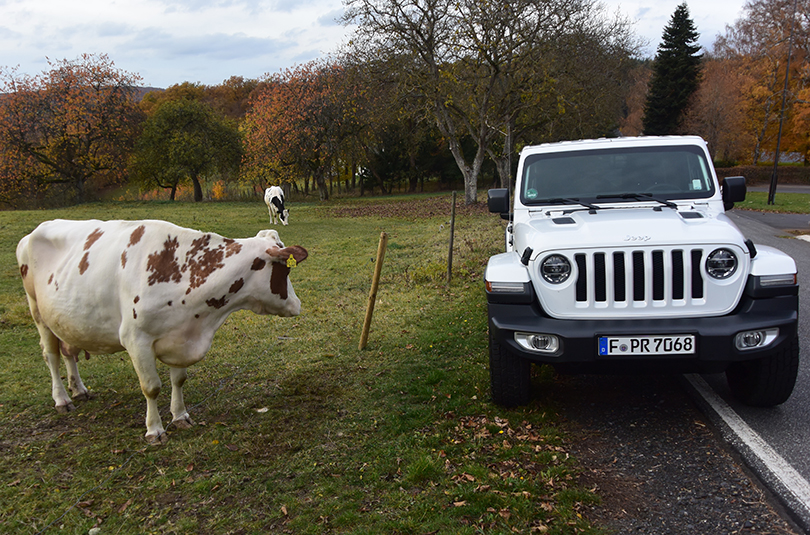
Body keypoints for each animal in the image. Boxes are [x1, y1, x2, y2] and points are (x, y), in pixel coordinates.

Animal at [15, 220, 306, 446]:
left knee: (68, 352)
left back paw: (78, 389)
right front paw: (154, 430)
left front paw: (180, 416)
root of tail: (33, 232)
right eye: (286, 269)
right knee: (51, 355)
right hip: (37, 311)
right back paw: (62, 399)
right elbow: (151, 387)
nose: (297, 304)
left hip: (65, 319)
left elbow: (179, 380)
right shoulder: (136, 339)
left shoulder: (181, 335)